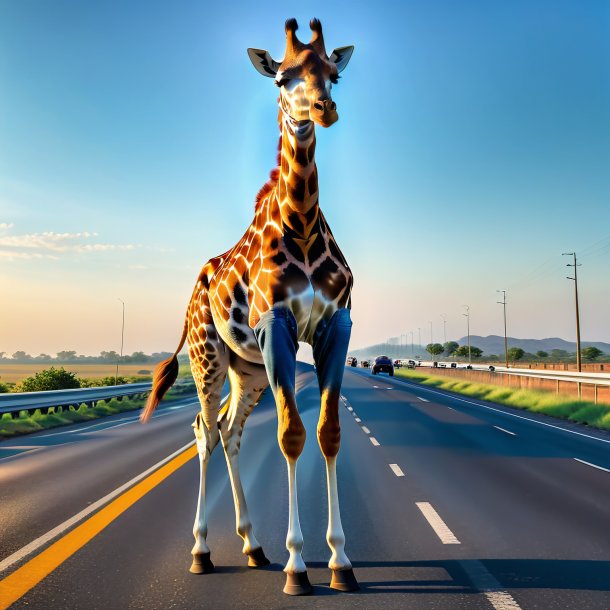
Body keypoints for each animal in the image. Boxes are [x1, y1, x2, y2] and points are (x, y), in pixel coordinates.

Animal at [140, 19, 354, 592]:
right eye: (282, 77)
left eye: (334, 74)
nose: (323, 109)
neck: (302, 226)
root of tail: (198, 282)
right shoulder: (276, 324)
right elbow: (291, 435)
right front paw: (298, 565)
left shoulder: (336, 326)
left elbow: (327, 434)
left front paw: (339, 560)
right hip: (208, 355)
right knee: (203, 429)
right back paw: (202, 550)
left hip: (249, 368)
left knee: (230, 430)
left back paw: (253, 544)